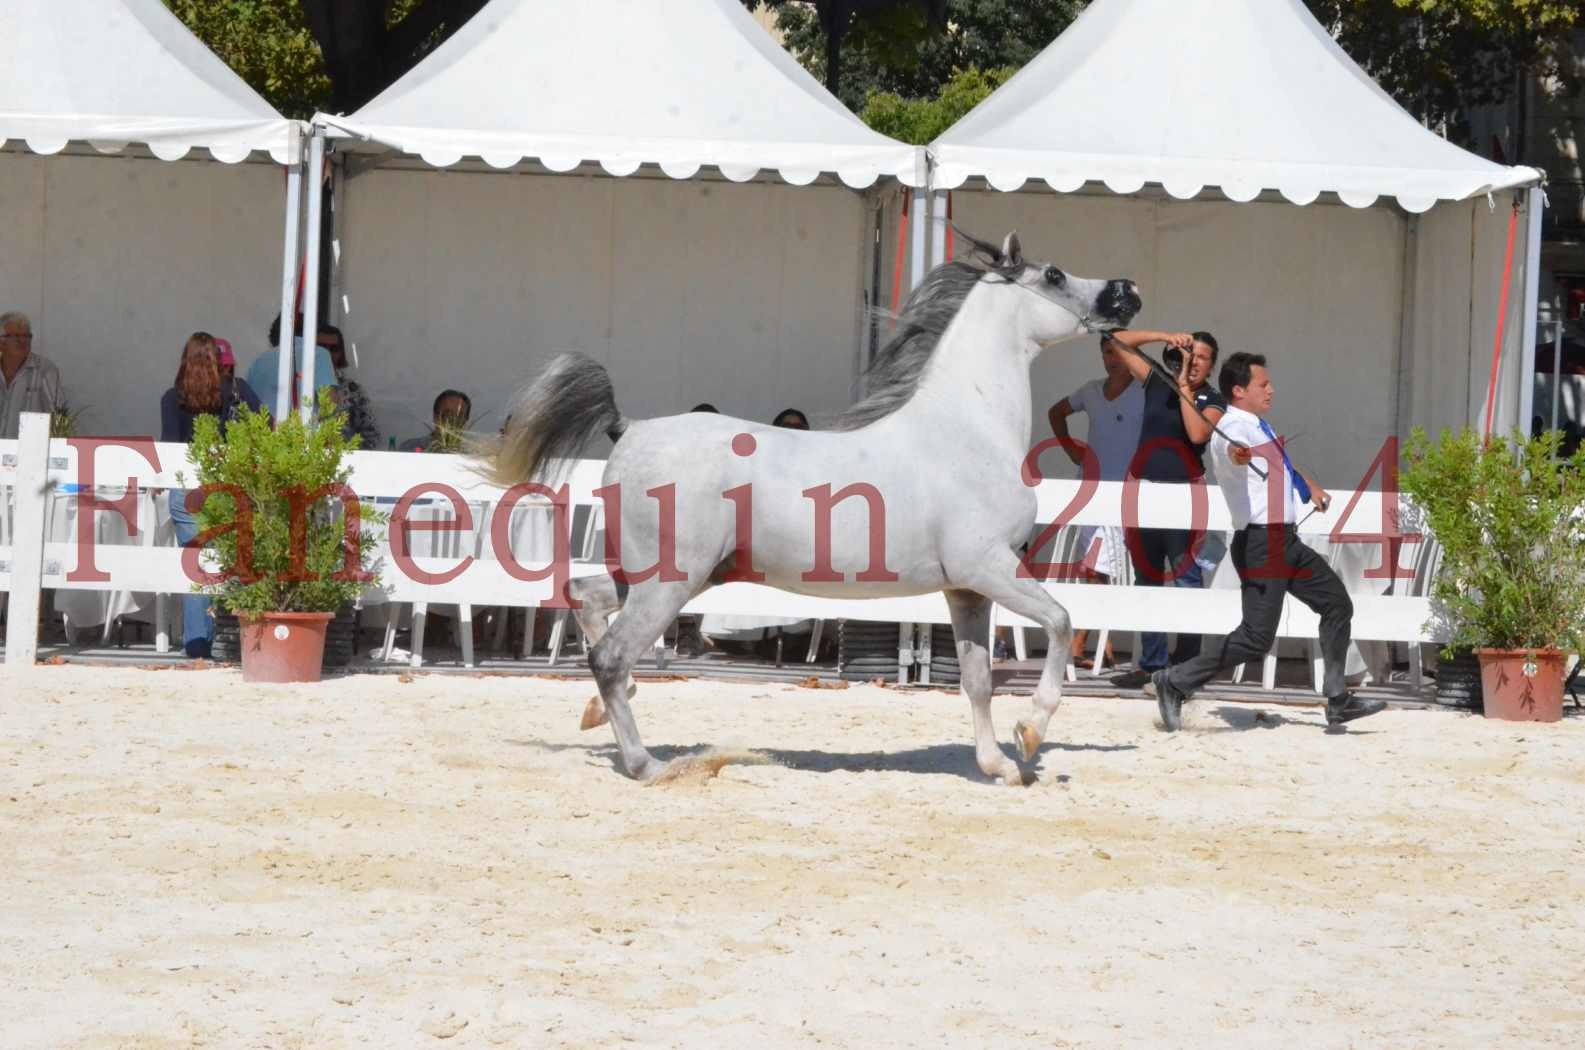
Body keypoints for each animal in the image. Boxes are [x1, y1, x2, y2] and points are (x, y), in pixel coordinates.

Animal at [491, 234, 1141, 786]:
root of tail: (629, 427)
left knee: (584, 599)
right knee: (611, 655)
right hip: (670, 582)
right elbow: (1061, 622)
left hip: (658, 576)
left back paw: (599, 714)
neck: (969, 428)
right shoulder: (989, 568)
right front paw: (1029, 734)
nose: (1128, 291)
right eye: (1054, 275)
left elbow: (978, 681)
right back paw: (646, 764)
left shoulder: (967, 589)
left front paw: (999, 766)